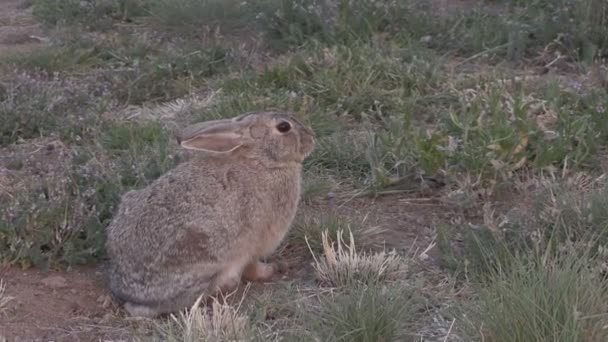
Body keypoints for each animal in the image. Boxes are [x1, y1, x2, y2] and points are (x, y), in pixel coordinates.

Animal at [104, 110, 316, 318]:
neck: (262, 161)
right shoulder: (255, 243)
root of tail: (125, 288)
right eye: (283, 127)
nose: (311, 138)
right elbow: (254, 267)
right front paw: (274, 269)